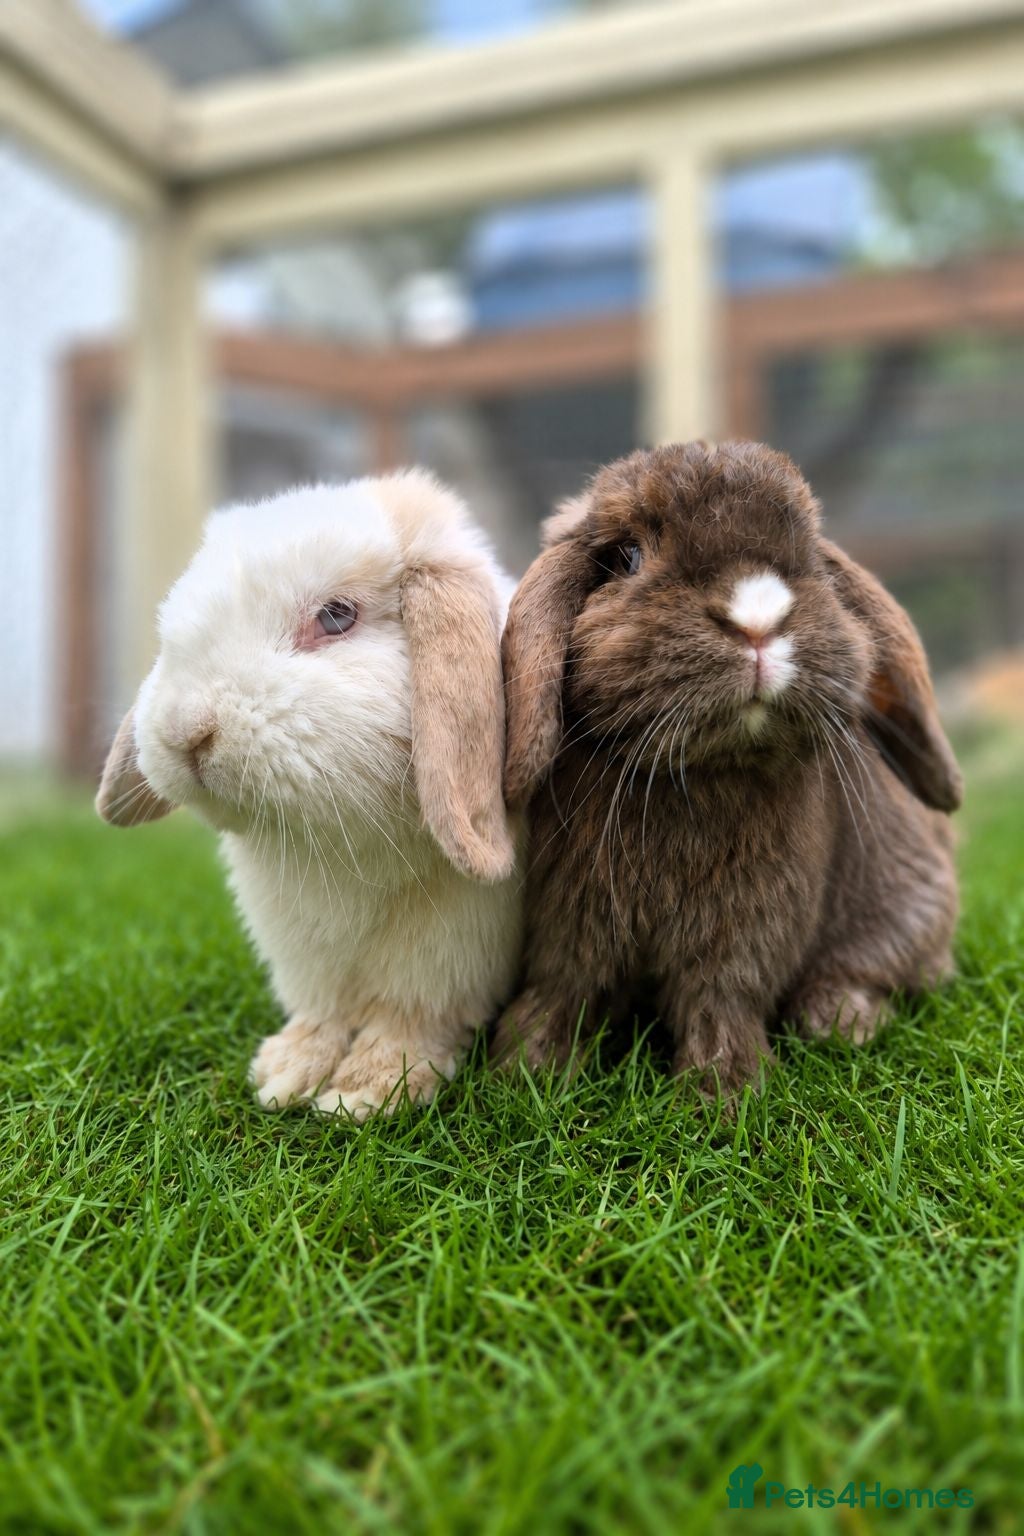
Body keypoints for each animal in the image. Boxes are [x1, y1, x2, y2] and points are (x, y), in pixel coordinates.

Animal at [96, 470, 524, 1119]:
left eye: (337, 616)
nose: (186, 730)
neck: (335, 846)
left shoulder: (451, 949)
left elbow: (410, 1020)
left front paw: (366, 1091)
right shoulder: (309, 959)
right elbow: (325, 1014)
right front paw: (285, 1076)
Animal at [493, 440, 961, 1096]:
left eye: (809, 557)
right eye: (627, 556)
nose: (758, 618)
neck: (695, 775)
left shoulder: (748, 925)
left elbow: (720, 998)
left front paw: (724, 1092)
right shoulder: (574, 916)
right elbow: (565, 986)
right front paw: (526, 1072)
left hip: (909, 903)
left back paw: (840, 1019)